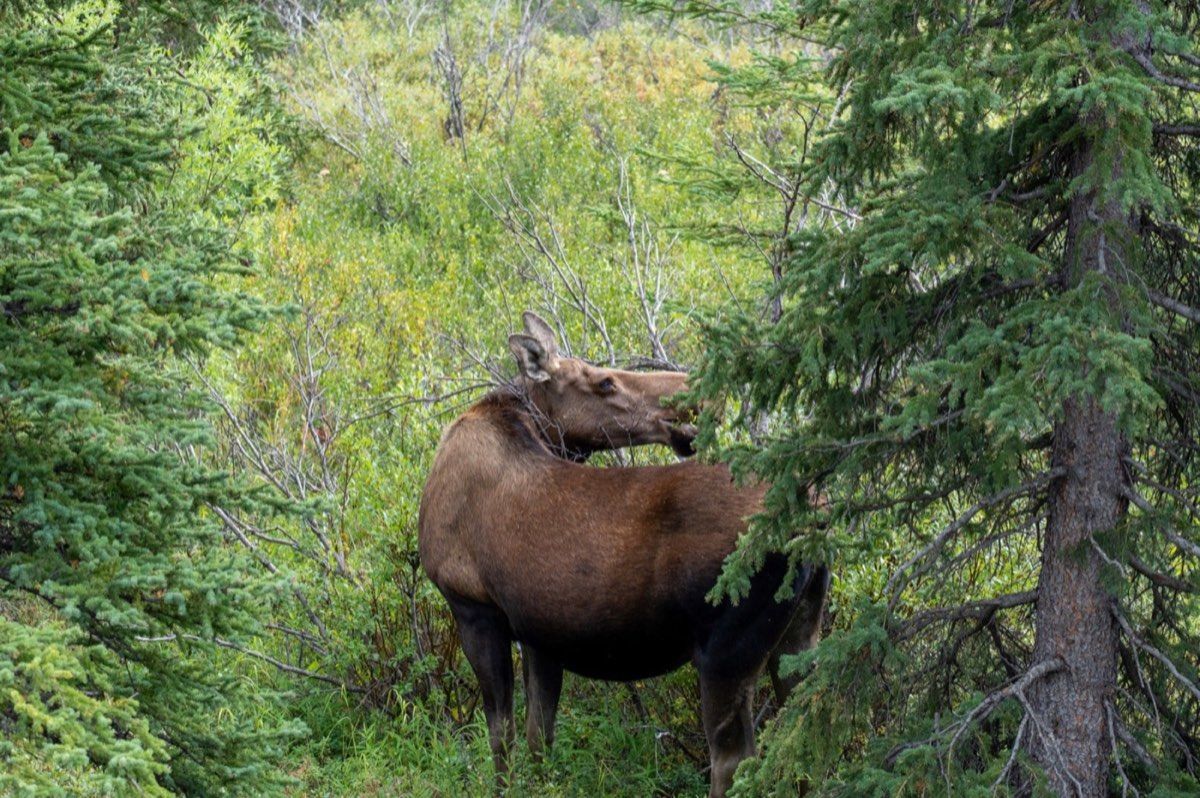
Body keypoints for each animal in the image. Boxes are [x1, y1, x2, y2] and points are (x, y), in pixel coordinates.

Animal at [418, 312, 829, 797]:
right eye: (605, 381)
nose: (694, 390)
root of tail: (813, 513)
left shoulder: (473, 606)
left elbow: (502, 739)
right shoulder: (536, 630)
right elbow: (539, 738)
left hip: (727, 641)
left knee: (733, 759)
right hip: (801, 624)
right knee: (805, 739)